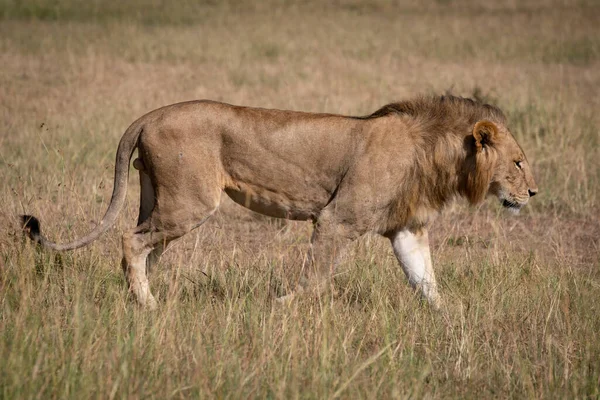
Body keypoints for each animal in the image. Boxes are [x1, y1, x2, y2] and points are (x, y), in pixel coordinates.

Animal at [22, 94, 540, 310]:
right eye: (518, 162)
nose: (533, 193)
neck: (435, 155)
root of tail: (149, 114)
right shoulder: (337, 219)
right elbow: (315, 277)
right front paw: (280, 305)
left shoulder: (406, 230)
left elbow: (428, 283)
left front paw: (453, 324)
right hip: (189, 203)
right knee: (130, 242)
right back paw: (148, 307)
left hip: (162, 202)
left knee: (142, 249)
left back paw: (142, 300)